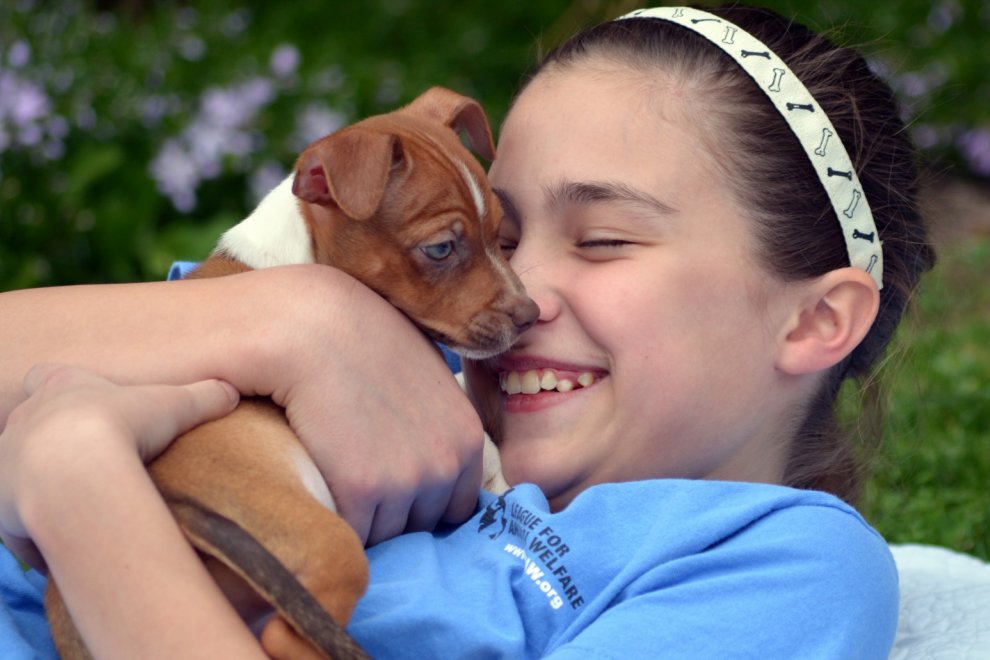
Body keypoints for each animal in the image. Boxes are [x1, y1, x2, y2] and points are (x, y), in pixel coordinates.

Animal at [44, 87, 544, 660]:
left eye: (502, 235)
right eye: (441, 249)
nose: (530, 316)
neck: (298, 253)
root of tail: (174, 509)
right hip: (330, 544)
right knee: (285, 637)